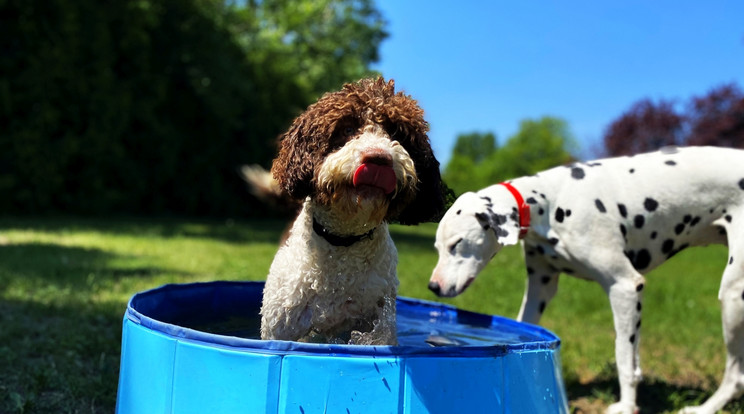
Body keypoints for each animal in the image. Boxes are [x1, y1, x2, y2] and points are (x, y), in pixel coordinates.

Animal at [258, 78, 442, 346]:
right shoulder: (278, 328)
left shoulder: (380, 325)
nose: (378, 159)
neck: (343, 243)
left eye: (397, 133)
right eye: (346, 129)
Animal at [428, 146, 744, 414]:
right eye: (437, 247)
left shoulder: (625, 287)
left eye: (456, 243)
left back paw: (705, 408)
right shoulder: (540, 289)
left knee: (735, 376)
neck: (551, 200)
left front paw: (627, 406)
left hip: (732, 298)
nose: (433, 286)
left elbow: (624, 358)